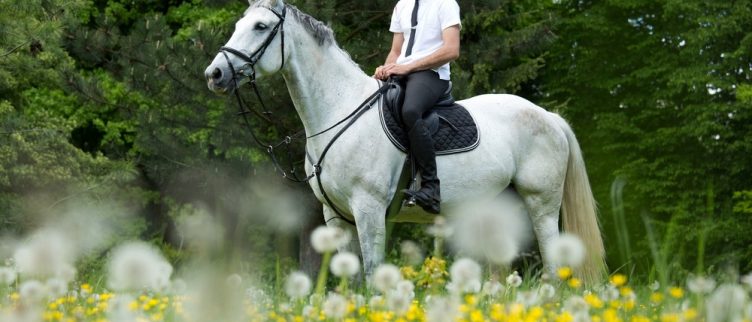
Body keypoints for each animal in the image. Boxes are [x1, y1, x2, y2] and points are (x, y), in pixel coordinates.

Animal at [206, 0, 604, 282]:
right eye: (238, 25)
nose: (215, 74)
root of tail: (549, 117)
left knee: (553, 268)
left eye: (260, 27)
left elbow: (371, 275)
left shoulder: (368, 210)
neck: (340, 109)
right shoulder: (336, 217)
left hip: (541, 205)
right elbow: (349, 279)